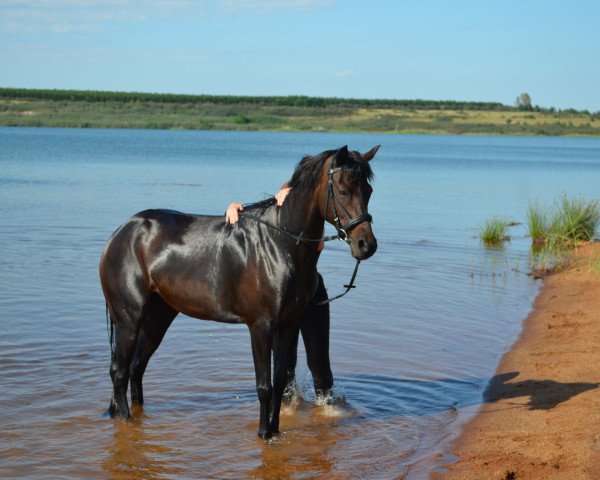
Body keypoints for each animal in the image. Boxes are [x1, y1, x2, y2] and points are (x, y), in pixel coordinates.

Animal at [98, 143, 380, 438]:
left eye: (369, 191)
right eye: (343, 190)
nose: (366, 245)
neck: (279, 244)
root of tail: (121, 233)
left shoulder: (287, 325)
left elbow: (280, 382)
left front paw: (275, 430)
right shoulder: (260, 327)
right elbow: (264, 386)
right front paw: (264, 434)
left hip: (157, 318)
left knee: (135, 369)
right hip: (128, 320)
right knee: (119, 372)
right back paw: (127, 421)